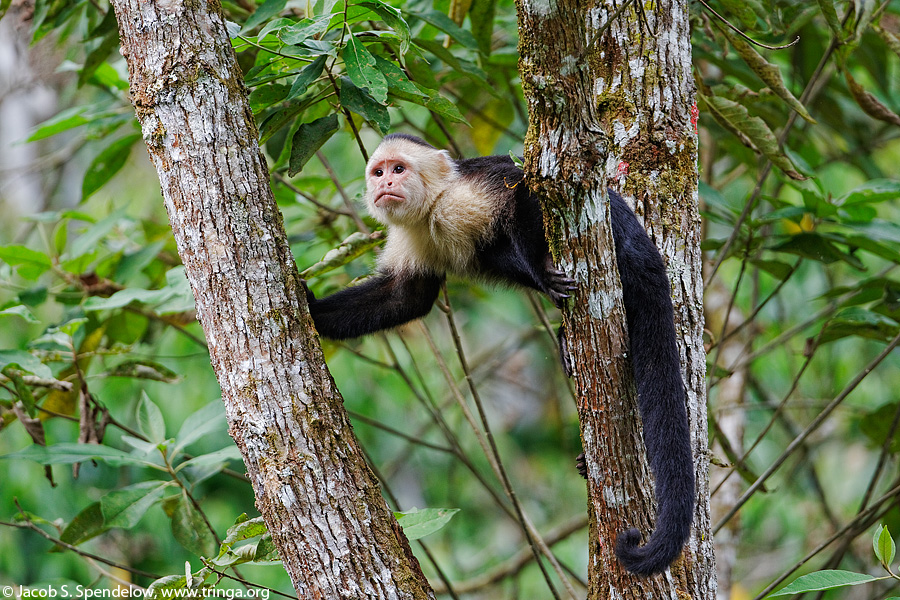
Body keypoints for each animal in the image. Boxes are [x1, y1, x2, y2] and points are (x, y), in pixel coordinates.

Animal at [302, 132, 696, 576]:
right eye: (378, 171)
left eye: (398, 169)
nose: (384, 184)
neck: (431, 208)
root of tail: (648, 252)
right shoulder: (410, 235)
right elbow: (404, 298)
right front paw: (311, 307)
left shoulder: (462, 197)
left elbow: (525, 188)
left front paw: (542, 267)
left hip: (624, 259)